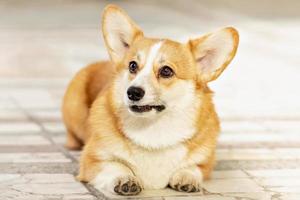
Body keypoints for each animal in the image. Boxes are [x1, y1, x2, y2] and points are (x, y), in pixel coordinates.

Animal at [62, 4, 239, 195]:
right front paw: (125, 178)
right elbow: (115, 166)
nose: (132, 92)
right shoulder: (92, 161)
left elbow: (194, 168)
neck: (152, 131)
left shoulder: (205, 164)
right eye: (132, 66)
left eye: (166, 71)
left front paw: (187, 177)